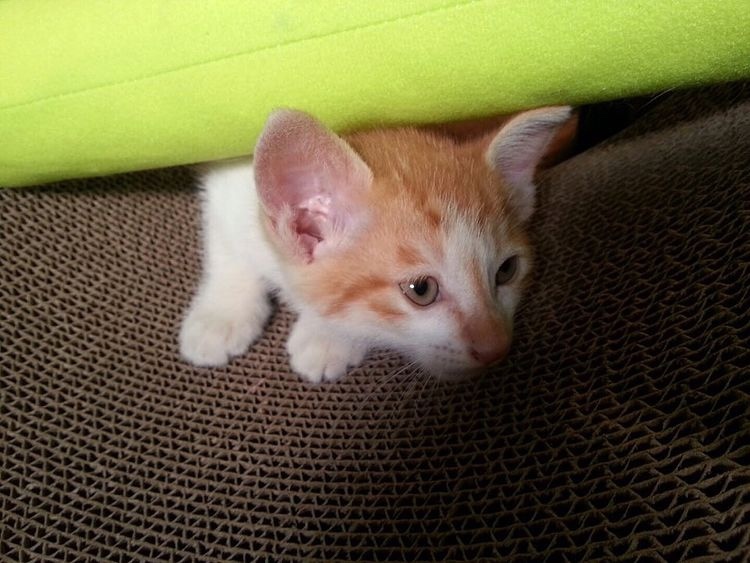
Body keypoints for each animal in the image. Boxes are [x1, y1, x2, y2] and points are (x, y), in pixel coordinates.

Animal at [179, 106, 572, 383]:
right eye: (421, 290)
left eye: (507, 271)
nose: (496, 349)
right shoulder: (225, 181)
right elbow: (226, 246)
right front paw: (221, 314)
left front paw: (328, 336)